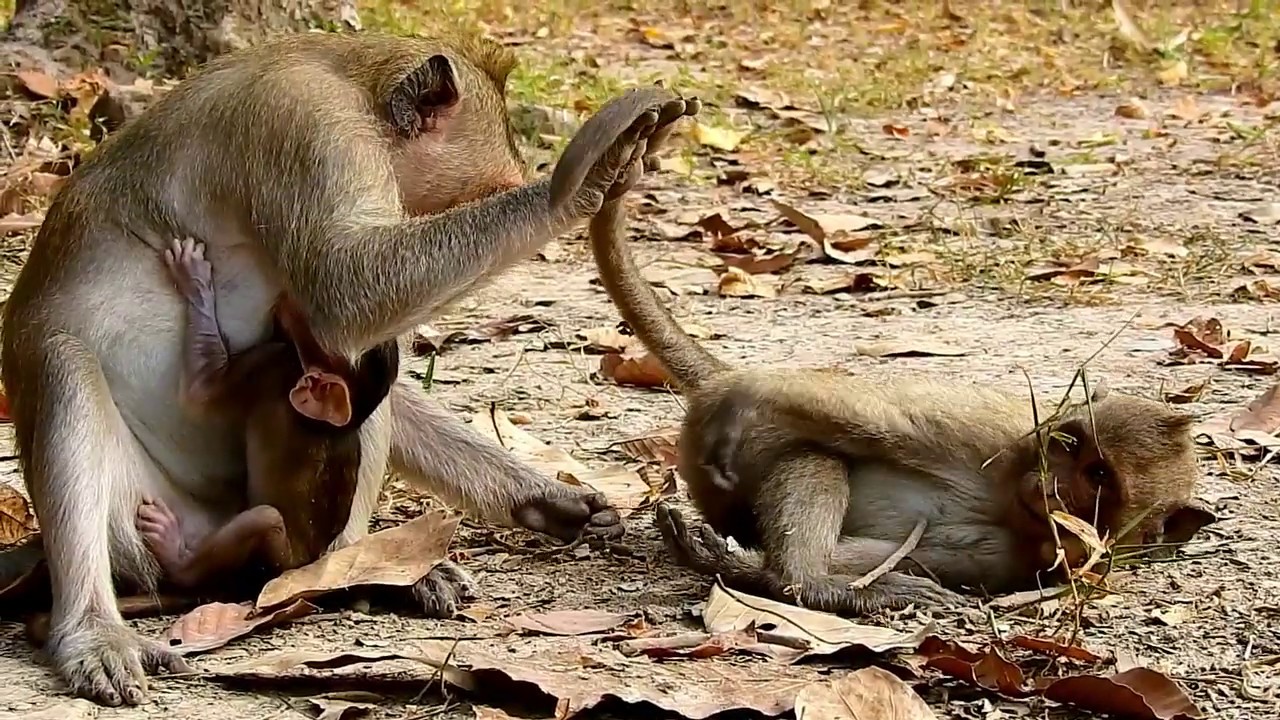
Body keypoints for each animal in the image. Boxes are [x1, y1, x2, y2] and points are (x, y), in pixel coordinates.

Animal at [133, 237, 400, 591]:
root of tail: (303, 564)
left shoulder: (271, 366)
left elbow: (200, 391)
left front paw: (195, 280)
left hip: (273, 558)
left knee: (263, 520)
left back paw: (174, 555)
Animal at [582, 194, 1215, 615]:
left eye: (1099, 478)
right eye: (1069, 444)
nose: (1048, 483)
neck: (1016, 504)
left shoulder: (1035, 555)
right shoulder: (988, 435)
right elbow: (872, 419)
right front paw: (747, 398)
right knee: (814, 450)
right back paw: (800, 577)